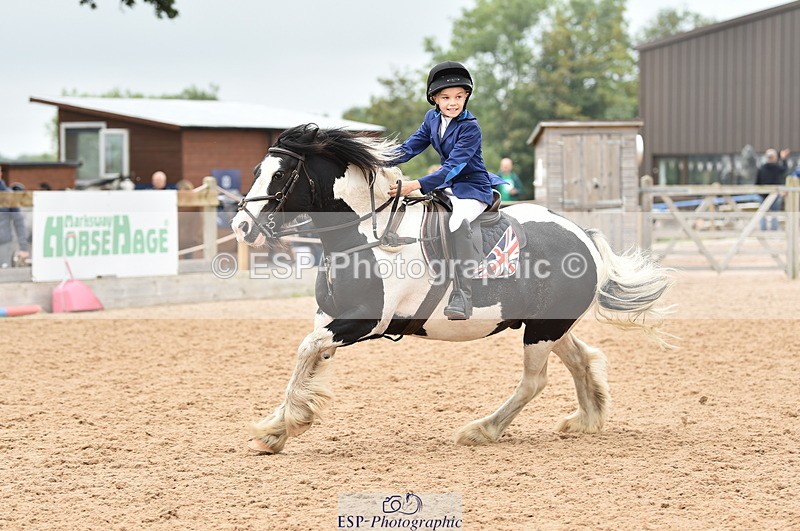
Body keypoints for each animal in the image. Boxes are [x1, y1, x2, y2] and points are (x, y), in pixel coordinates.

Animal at [231, 124, 672, 454]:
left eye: (280, 175)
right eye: (255, 170)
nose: (241, 227)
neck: (365, 238)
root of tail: (583, 235)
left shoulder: (364, 322)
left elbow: (306, 351)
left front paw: (282, 425)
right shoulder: (331, 320)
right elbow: (309, 360)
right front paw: (278, 429)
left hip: (543, 330)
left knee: (534, 381)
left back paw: (483, 430)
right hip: (547, 325)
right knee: (581, 359)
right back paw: (586, 420)